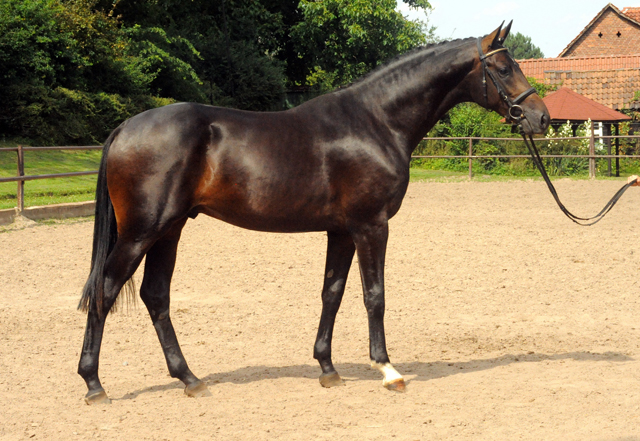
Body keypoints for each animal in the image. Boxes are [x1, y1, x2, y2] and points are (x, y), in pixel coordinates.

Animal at [79, 22, 552, 404]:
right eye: (504, 68)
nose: (541, 118)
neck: (376, 122)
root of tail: (124, 128)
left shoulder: (340, 232)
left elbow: (333, 293)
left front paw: (327, 368)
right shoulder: (371, 226)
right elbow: (374, 295)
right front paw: (387, 369)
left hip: (170, 230)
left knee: (155, 296)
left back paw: (190, 379)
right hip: (142, 231)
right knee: (105, 289)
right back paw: (94, 384)